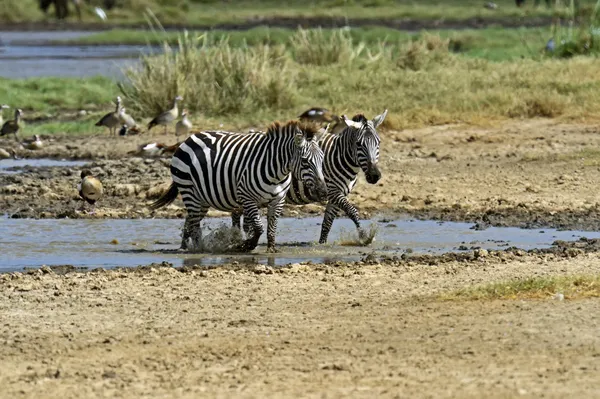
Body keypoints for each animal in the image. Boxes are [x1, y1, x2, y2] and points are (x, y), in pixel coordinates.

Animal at [150, 121, 328, 253]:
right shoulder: (247, 198)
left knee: (190, 220)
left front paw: (271, 249)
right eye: (305, 161)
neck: (277, 173)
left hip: (202, 198)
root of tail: (190, 138)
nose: (323, 192)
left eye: (322, 158)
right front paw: (247, 245)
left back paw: (185, 246)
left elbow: (271, 226)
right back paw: (200, 248)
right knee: (194, 223)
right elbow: (258, 227)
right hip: (188, 190)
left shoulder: (278, 200)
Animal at [230, 111, 390, 245]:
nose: (374, 175)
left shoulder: (336, 196)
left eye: (379, 143)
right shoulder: (333, 191)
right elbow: (352, 211)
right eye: (359, 144)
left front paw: (322, 243)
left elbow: (327, 223)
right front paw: (365, 236)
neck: (339, 158)